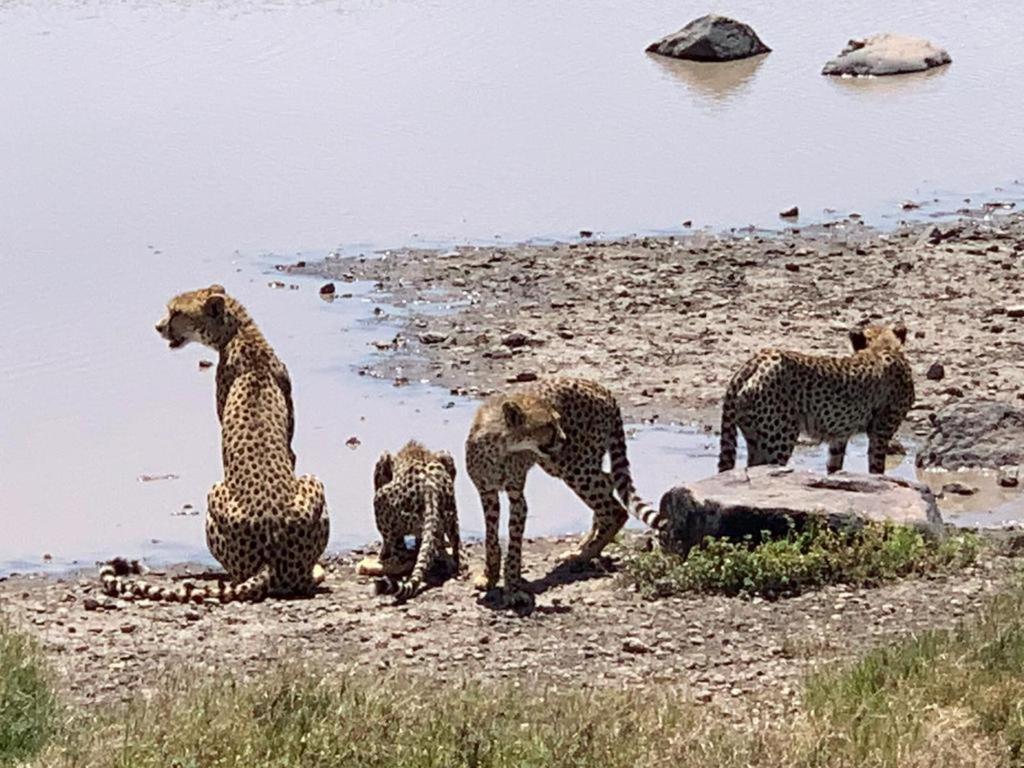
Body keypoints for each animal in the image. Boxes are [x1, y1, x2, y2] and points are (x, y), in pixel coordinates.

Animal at [368, 442, 460, 606]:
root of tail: (431, 489)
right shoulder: (445, 456)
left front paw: (382, 554)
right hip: (449, 518)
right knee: (452, 547)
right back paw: (452, 564)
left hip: (380, 500)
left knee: (398, 549)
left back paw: (392, 560)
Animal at [466, 376, 663, 606]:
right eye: (547, 425)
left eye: (557, 421)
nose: (563, 438)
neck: (501, 445)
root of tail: (599, 386)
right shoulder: (487, 492)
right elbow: (490, 537)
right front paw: (489, 576)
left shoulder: (517, 496)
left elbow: (514, 546)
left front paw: (512, 588)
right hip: (570, 464)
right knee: (607, 484)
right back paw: (583, 546)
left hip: (571, 466)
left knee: (615, 509)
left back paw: (584, 555)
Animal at [716, 319, 917, 475]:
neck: (884, 347)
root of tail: (756, 360)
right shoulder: (880, 432)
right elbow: (877, 469)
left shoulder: (839, 436)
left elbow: (835, 467)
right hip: (780, 439)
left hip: (754, 437)